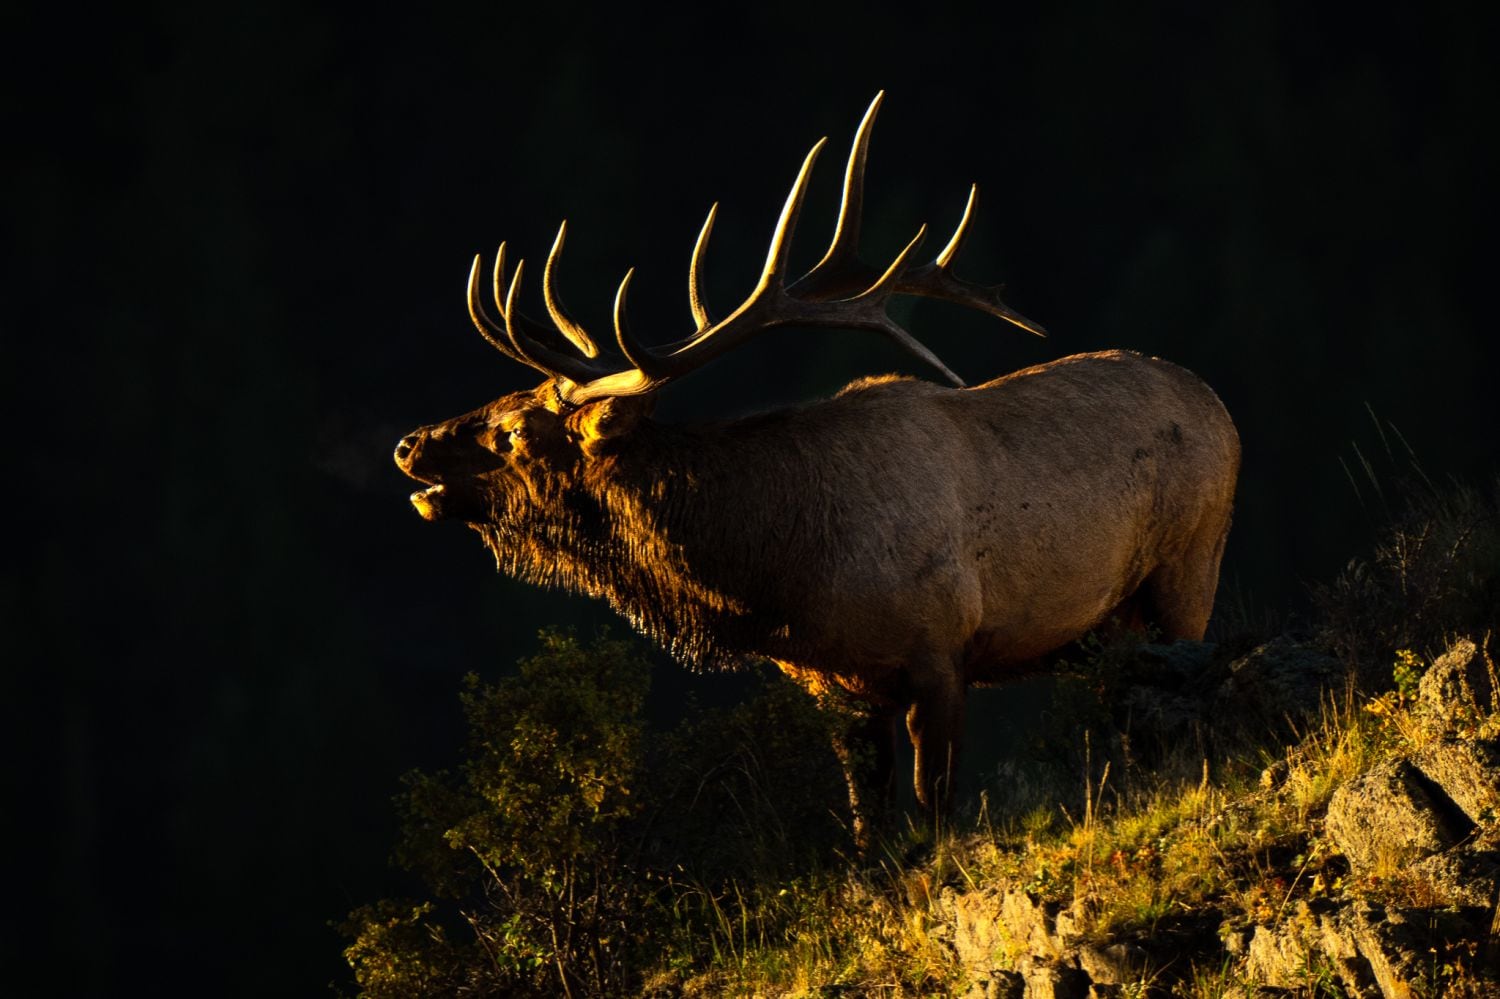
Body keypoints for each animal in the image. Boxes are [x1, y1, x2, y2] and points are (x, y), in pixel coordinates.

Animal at [393, 93, 1236, 834]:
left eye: (515, 432)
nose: (409, 445)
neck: (778, 572)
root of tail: (1220, 407)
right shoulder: (833, 686)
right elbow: (868, 825)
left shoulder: (941, 650)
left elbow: (935, 810)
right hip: (1119, 626)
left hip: (1188, 568)